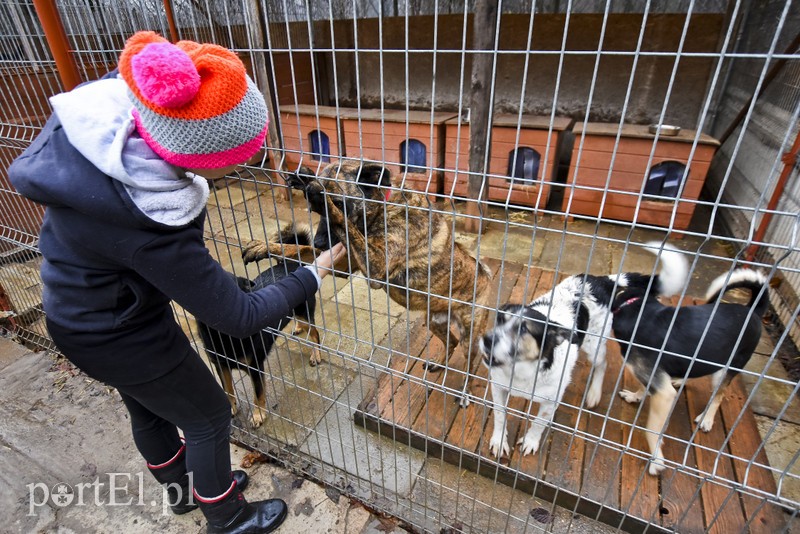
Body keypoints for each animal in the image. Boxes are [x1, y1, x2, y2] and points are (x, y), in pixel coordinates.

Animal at [197, 226, 322, 432]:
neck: (224, 336)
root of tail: (292, 263)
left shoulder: (255, 367)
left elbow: (258, 393)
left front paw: (258, 415)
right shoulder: (220, 364)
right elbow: (228, 389)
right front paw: (231, 408)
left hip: (305, 312)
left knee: (315, 334)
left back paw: (316, 354)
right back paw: (297, 328)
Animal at [242, 161, 494, 404]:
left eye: (339, 202)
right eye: (312, 210)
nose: (320, 243)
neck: (383, 206)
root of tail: (485, 275)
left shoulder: (375, 264)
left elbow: (342, 221)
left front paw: (316, 189)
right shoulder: (343, 262)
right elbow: (295, 248)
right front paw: (264, 246)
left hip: (470, 336)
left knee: (469, 364)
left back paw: (464, 393)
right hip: (433, 320)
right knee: (451, 341)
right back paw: (439, 363)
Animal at [478, 243, 692, 460]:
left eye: (523, 329)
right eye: (499, 320)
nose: (487, 339)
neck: (522, 373)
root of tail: (603, 281)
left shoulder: (550, 402)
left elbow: (538, 423)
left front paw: (531, 441)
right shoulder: (498, 387)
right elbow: (499, 414)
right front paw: (499, 440)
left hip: (594, 345)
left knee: (603, 363)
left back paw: (594, 393)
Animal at [612, 268, 768, 478]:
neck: (634, 305)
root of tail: (753, 310)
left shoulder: (663, 392)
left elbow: (651, 430)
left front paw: (656, 460)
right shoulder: (653, 377)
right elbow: (642, 387)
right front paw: (635, 396)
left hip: (725, 369)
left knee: (719, 396)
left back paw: (706, 418)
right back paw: (679, 381)